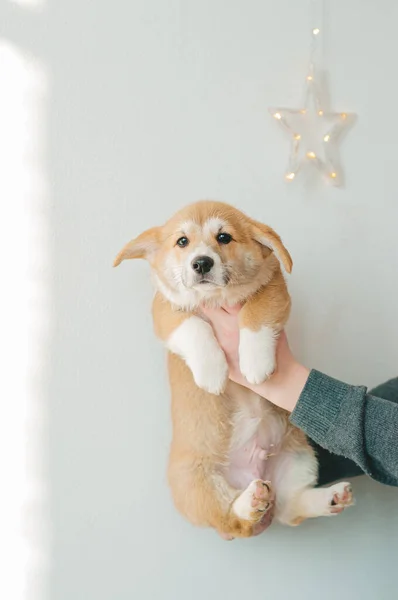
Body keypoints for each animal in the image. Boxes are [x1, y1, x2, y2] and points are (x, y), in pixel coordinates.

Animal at [113, 200, 352, 540]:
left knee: (290, 508)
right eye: (182, 241)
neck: (216, 298)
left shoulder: (273, 288)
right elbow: (194, 326)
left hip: (298, 456)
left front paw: (255, 362)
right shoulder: (165, 311)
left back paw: (329, 497)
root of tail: (251, 473)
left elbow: (255, 313)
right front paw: (212, 372)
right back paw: (249, 503)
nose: (201, 263)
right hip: (197, 484)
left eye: (224, 237)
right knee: (232, 519)